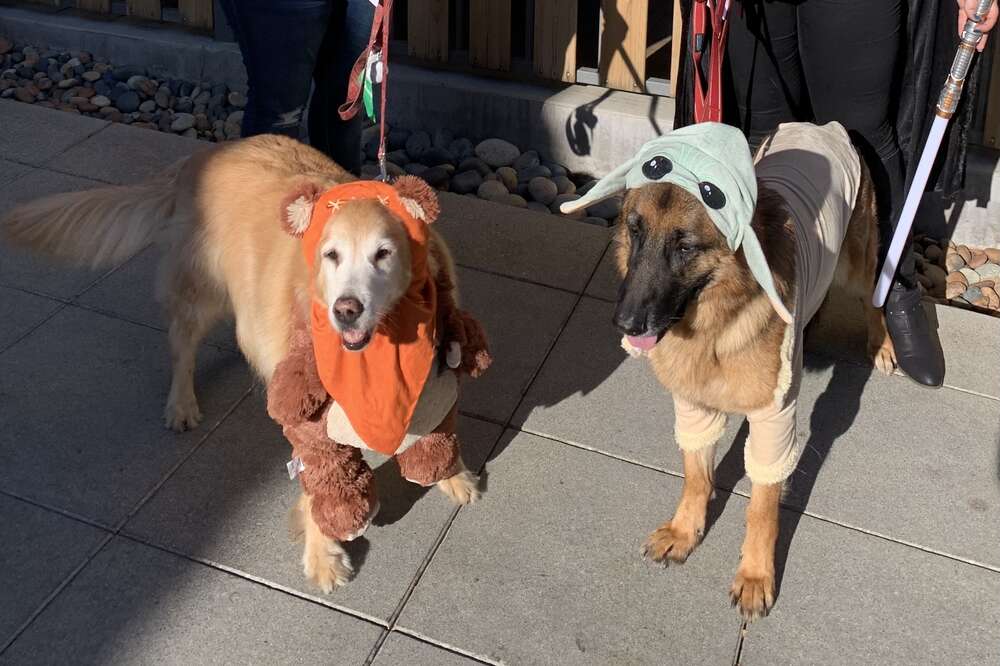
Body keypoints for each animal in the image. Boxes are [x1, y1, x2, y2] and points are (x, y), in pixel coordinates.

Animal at [0, 132, 480, 588]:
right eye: (332, 255)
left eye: (384, 253)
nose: (346, 309)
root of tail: (197, 158)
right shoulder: (309, 413)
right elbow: (320, 481)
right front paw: (323, 557)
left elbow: (435, 431)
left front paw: (454, 477)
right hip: (200, 290)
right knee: (182, 343)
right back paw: (182, 404)